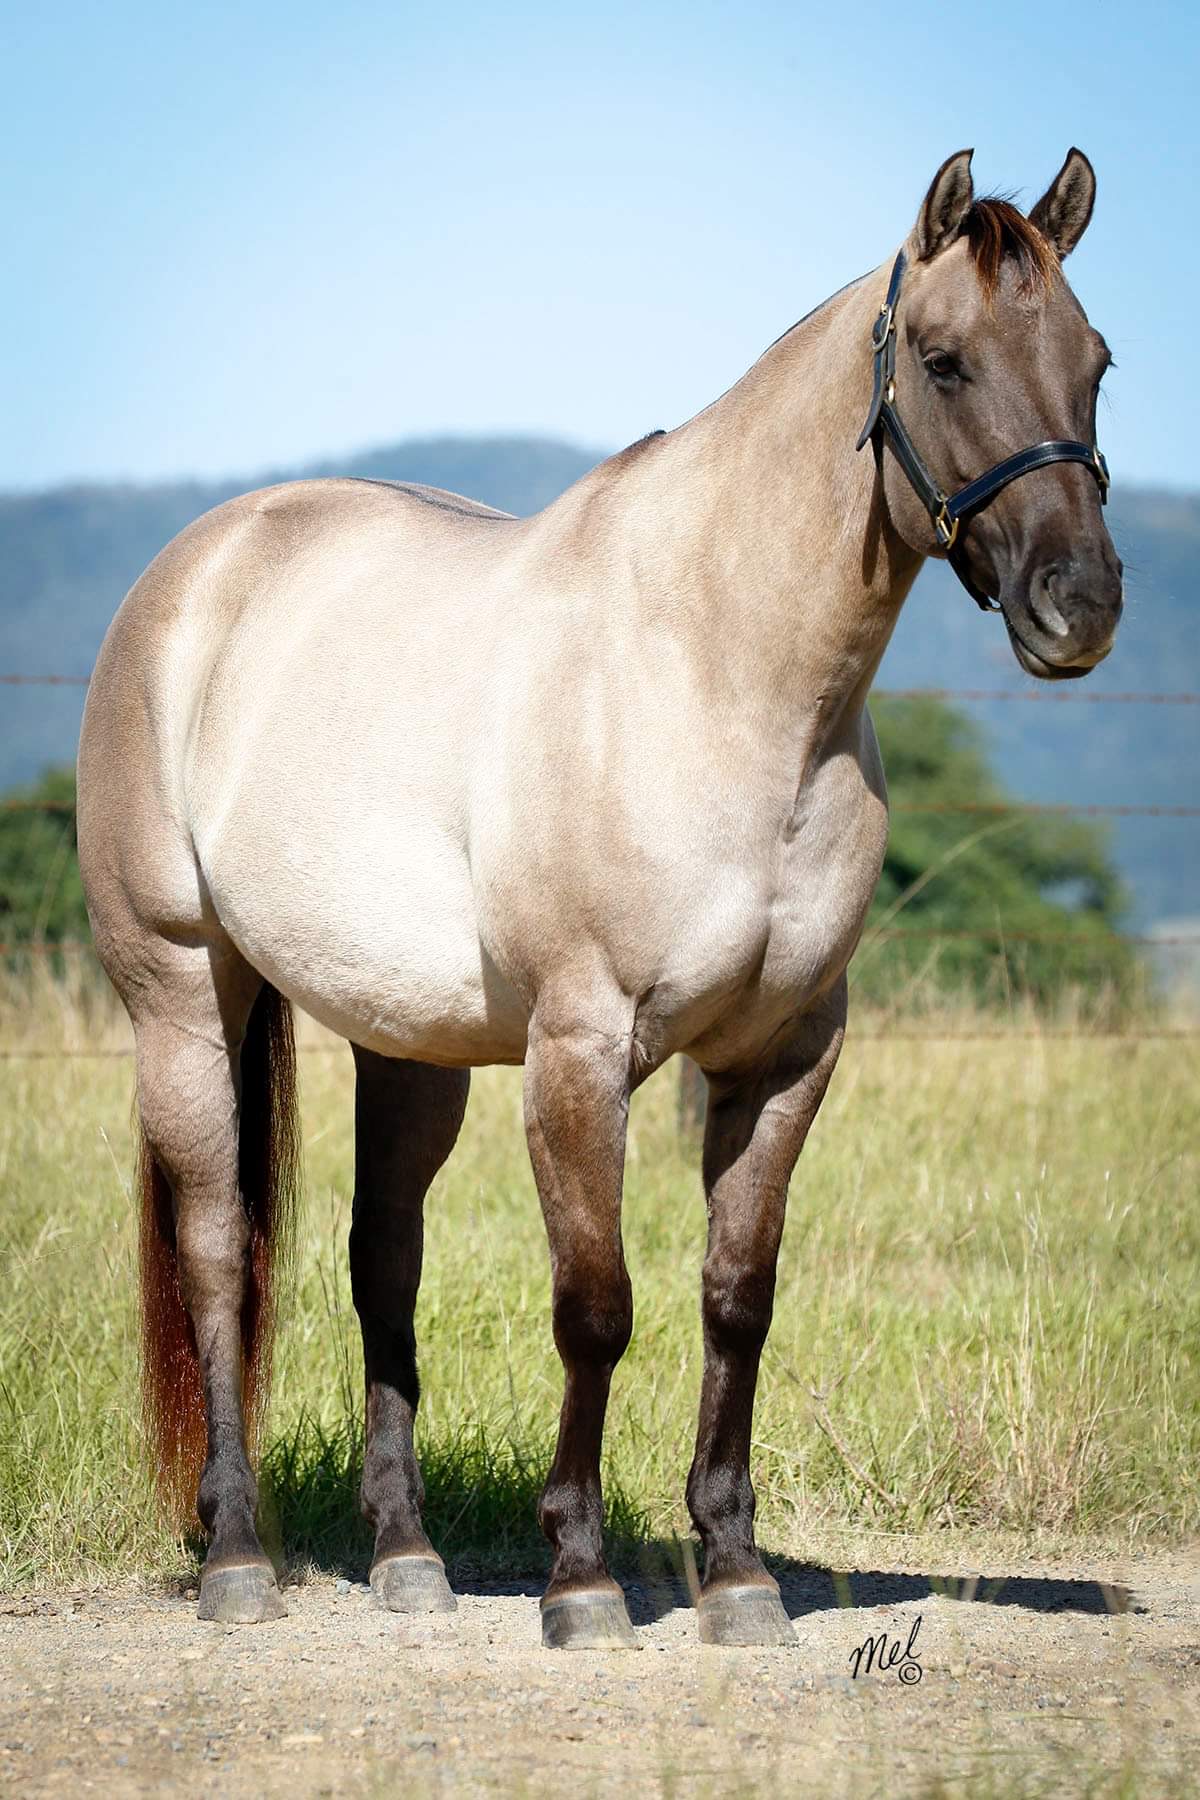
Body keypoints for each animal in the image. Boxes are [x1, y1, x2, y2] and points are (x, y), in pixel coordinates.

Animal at [76, 148, 1123, 1648]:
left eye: (1095, 361)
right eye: (945, 360)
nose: (1077, 607)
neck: (716, 673)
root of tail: (199, 569)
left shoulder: (786, 1058)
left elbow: (736, 1298)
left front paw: (735, 1573)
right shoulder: (581, 1049)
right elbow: (597, 1305)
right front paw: (579, 1578)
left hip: (406, 1042)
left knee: (379, 1258)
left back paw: (407, 1559)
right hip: (179, 994)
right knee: (223, 1252)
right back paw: (236, 1559)